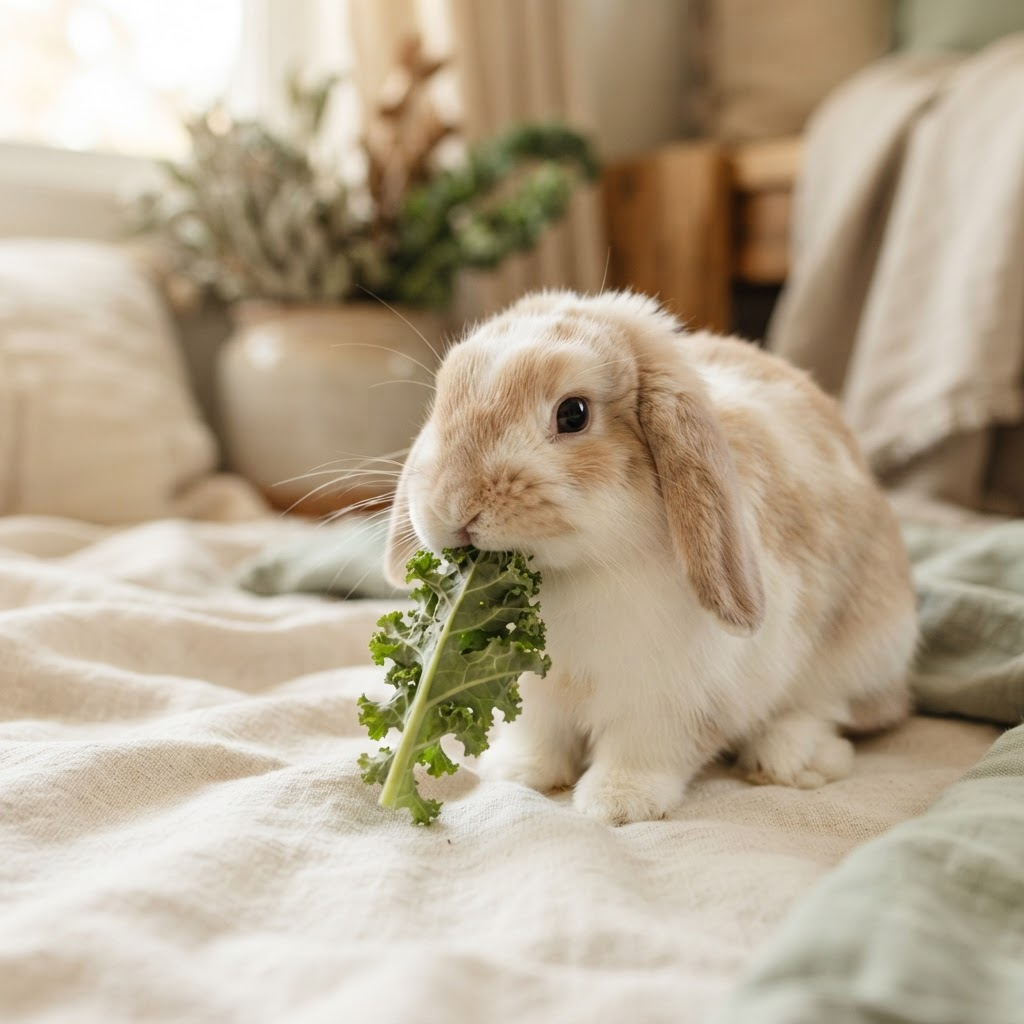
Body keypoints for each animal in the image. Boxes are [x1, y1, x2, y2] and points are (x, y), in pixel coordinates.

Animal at [383, 290, 917, 825]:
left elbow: (645, 749)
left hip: (864, 648)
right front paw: (519, 774)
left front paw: (618, 803)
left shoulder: (671, 700)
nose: (454, 505)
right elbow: (539, 737)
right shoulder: (536, 697)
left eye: (573, 414)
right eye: (443, 399)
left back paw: (793, 759)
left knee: (829, 707)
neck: (578, 571)